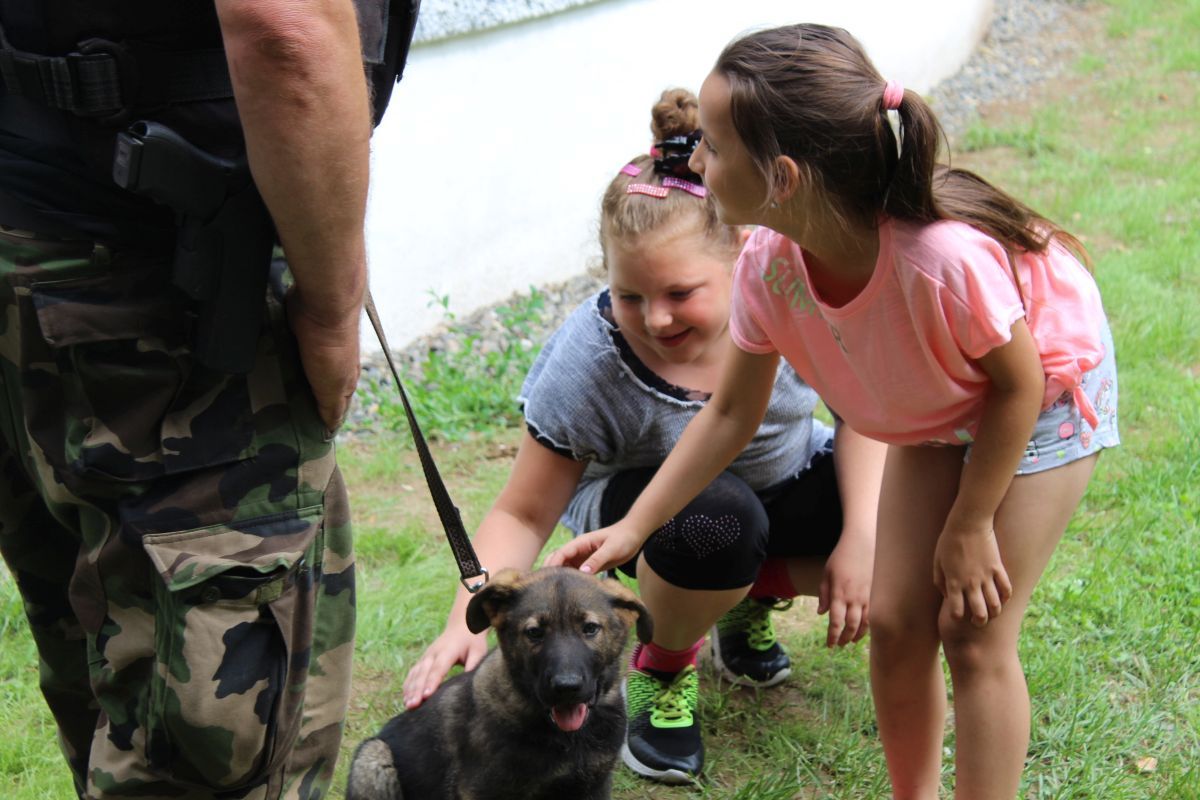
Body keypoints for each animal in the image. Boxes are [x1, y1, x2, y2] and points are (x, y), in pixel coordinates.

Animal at [346, 566, 653, 800]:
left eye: (590, 629)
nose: (566, 688)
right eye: (534, 632)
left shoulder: (594, 784)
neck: (567, 738)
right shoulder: (481, 790)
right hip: (371, 760)